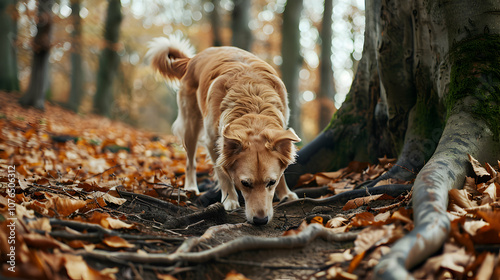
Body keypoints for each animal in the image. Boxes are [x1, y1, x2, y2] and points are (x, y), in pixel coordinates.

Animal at [146, 35, 298, 225]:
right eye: (245, 183)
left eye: (271, 182)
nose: (261, 220)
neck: (252, 103)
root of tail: (193, 59)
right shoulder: (214, 140)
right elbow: (222, 172)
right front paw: (230, 200)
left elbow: (282, 170)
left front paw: (285, 194)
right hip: (190, 124)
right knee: (190, 161)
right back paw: (191, 187)